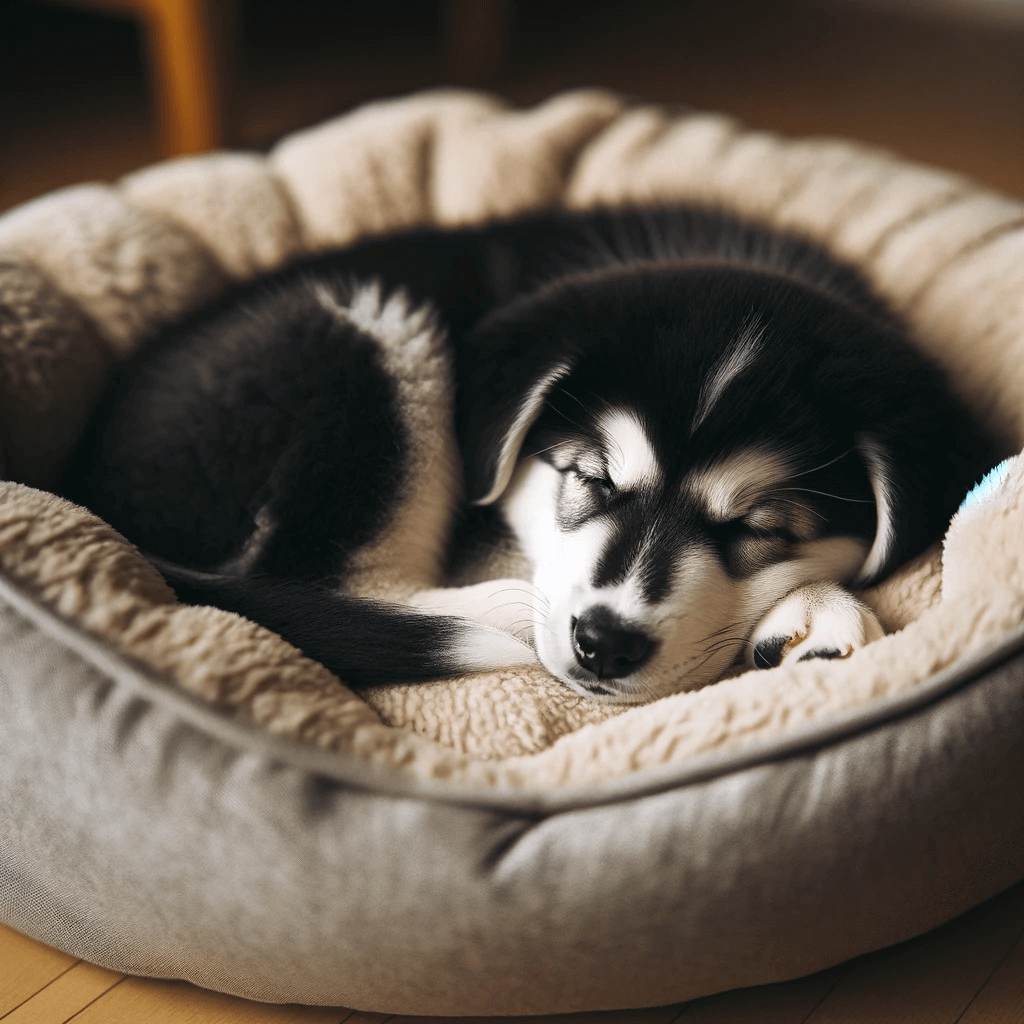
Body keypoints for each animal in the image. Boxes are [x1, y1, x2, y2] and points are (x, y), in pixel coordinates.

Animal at [59, 207, 995, 704]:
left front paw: (809, 614)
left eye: (757, 529)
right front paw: (824, 607)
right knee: (342, 584)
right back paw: (499, 610)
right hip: (370, 334)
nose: (603, 645)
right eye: (589, 478)